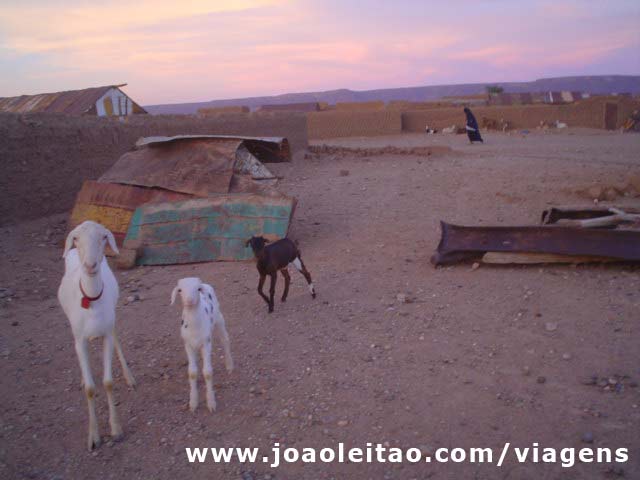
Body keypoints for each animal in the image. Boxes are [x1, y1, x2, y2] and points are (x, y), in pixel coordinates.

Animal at [57, 220, 135, 450]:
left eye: (104, 237)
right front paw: (94, 437)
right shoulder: (79, 340)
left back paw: (129, 377)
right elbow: (91, 388)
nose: (90, 265)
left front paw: (116, 430)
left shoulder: (106, 332)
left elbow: (108, 382)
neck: (91, 300)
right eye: (76, 238)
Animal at [171, 280, 234, 410]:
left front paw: (211, 403)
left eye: (198, 289)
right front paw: (193, 403)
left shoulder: (206, 343)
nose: (189, 300)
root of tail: (205, 283)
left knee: (225, 340)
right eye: (180, 290)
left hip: (219, 318)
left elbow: (208, 373)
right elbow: (192, 373)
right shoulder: (188, 345)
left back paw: (229, 365)